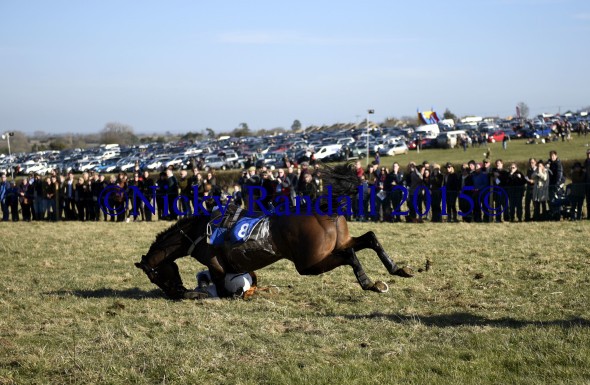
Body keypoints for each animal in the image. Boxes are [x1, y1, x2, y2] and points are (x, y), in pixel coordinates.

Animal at [136, 164, 414, 298]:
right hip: (338, 243)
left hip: (309, 263)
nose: (175, 294)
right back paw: (397, 269)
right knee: (369, 239)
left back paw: (369, 283)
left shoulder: (216, 266)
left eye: (154, 276)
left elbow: (222, 291)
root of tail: (324, 207)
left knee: (349, 256)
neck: (197, 232)